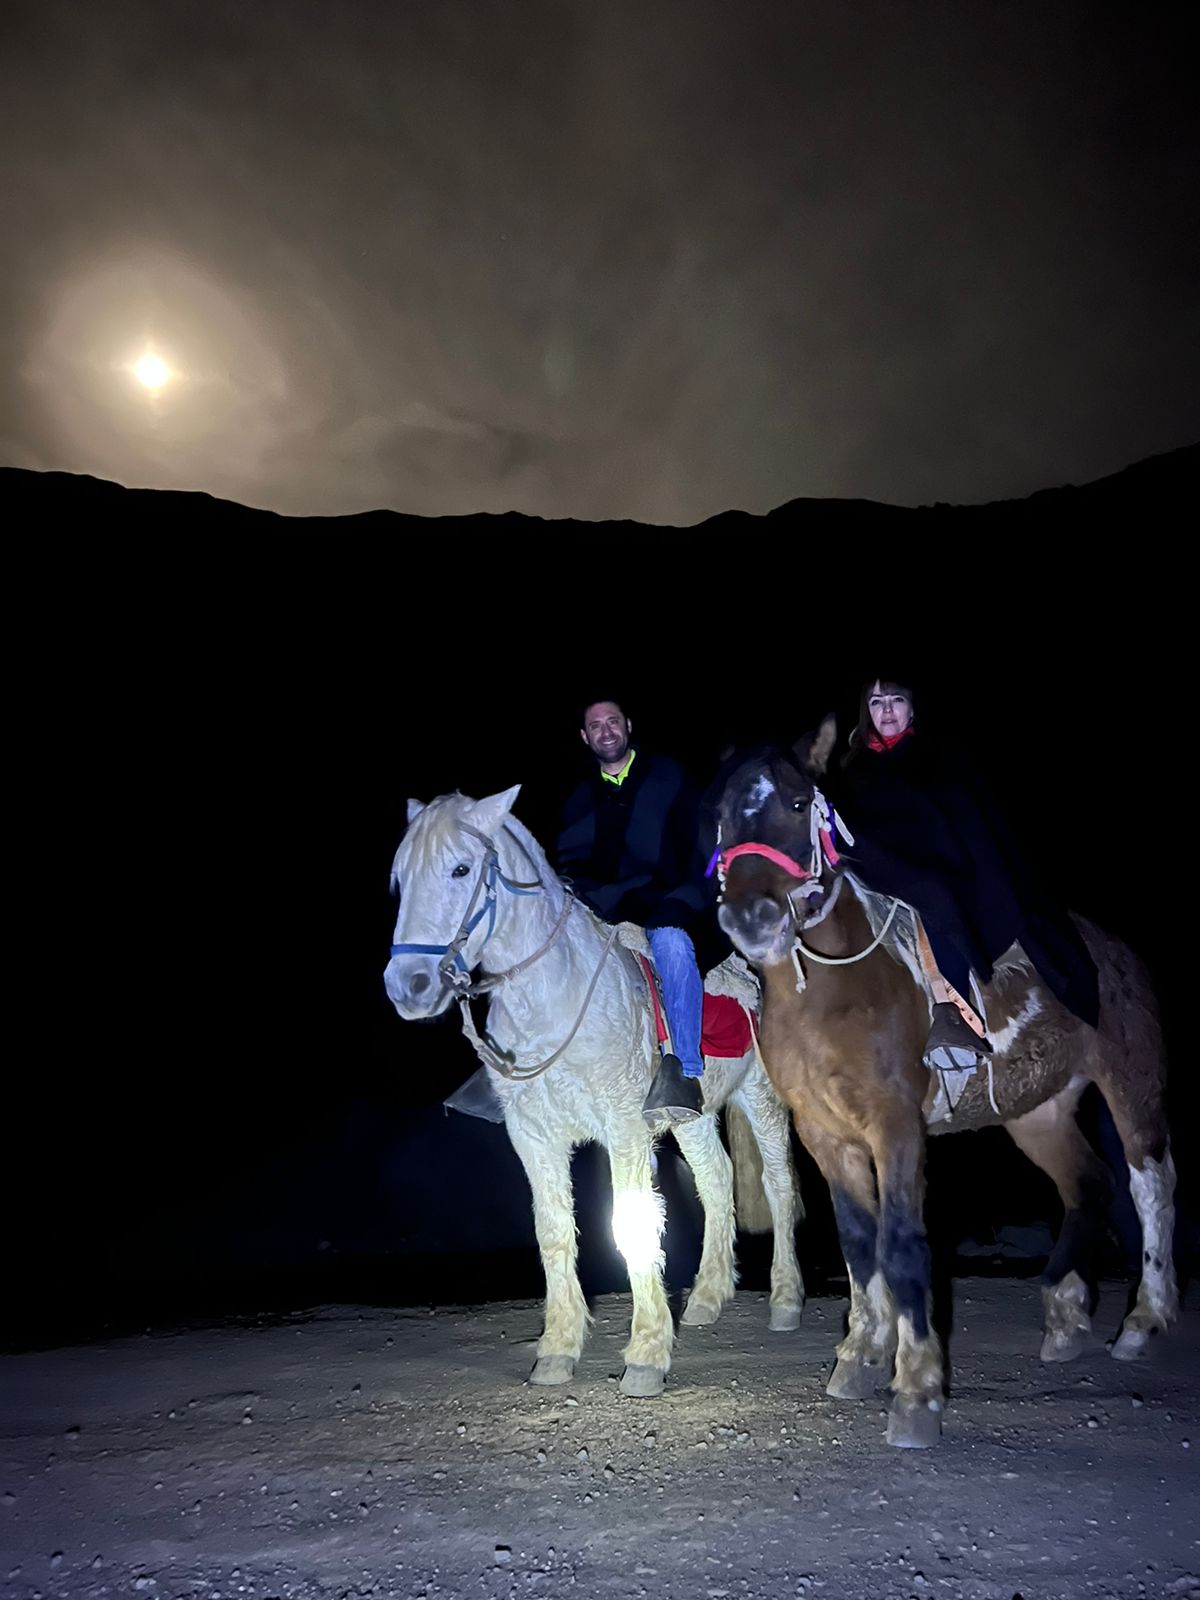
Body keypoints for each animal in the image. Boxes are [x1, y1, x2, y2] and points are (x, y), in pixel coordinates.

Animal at [380, 793, 803, 1395]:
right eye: (401, 880)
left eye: (460, 870)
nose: (408, 987)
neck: (554, 998)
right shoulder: (534, 1139)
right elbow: (554, 1232)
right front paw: (557, 1350)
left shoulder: (624, 1131)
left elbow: (633, 1225)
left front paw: (646, 1354)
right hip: (693, 1116)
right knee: (717, 1181)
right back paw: (705, 1297)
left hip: (762, 1099)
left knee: (778, 1185)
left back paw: (786, 1301)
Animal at [720, 723, 1177, 1452]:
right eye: (720, 814)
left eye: (795, 804)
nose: (751, 917)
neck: (831, 990)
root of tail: (1118, 951)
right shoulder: (825, 1135)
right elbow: (859, 1242)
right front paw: (861, 1355)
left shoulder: (895, 1124)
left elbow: (902, 1243)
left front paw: (916, 1391)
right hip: (1036, 1114)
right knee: (1089, 1184)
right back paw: (1065, 1313)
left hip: (1131, 1087)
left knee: (1150, 1186)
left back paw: (1142, 1321)